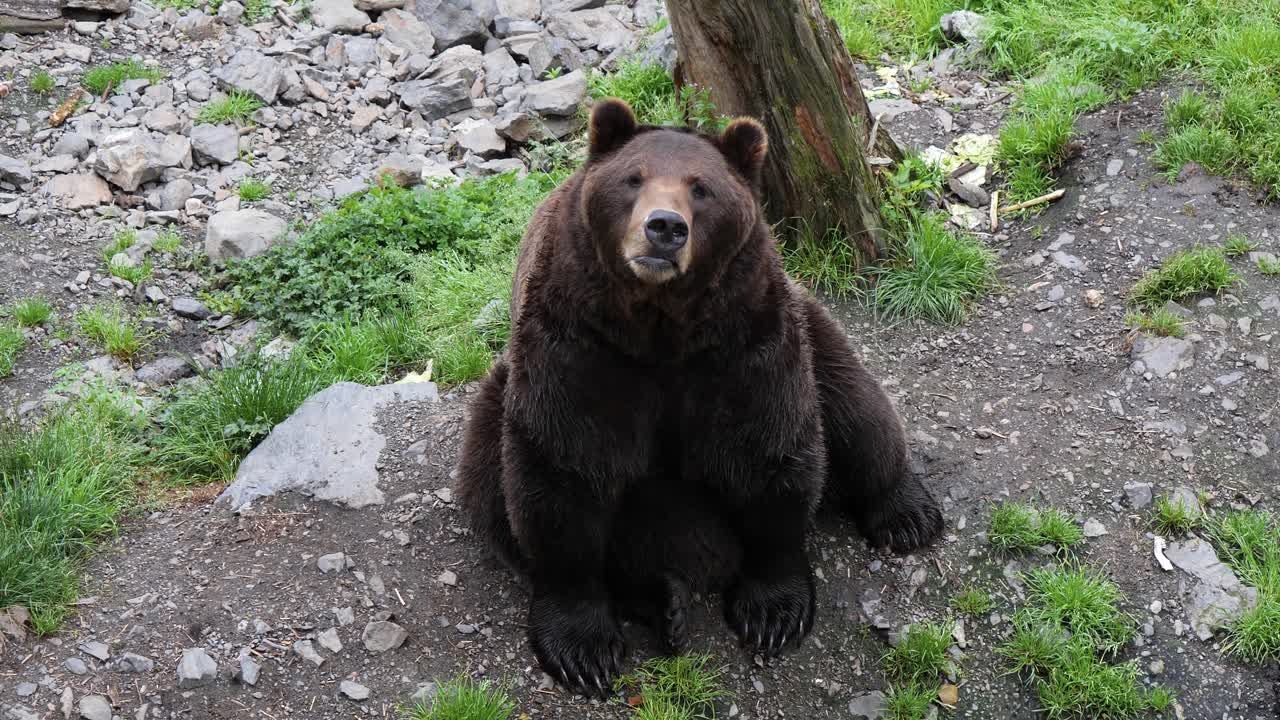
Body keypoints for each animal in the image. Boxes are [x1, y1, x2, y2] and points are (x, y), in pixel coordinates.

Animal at [455, 97, 943, 698]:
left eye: (701, 188)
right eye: (633, 178)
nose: (665, 228)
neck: (659, 325)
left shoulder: (742, 339)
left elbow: (768, 450)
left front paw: (772, 611)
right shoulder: (576, 345)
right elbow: (563, 471)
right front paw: (581, 648)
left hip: (813, 326)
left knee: (857, 409)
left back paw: (905, 513)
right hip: (499, 393)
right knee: (489, 480)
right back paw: (663, 602)